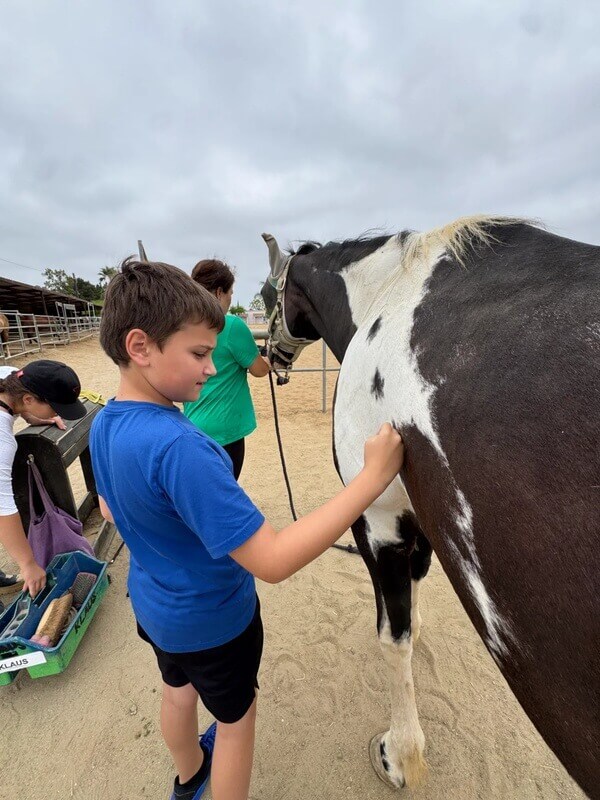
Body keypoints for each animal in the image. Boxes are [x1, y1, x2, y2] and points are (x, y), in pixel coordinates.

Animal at [260, 216, 599, 799]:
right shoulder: (417, 520)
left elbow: (392, 638)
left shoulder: (379, 522)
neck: (389, 293)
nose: (269, 359)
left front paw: (399, 756)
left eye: (264, 295)